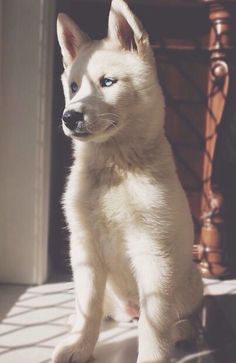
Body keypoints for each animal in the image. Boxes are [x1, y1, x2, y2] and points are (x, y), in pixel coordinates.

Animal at [53, 0, 203, 363]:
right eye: (74, 86)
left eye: (108, 82)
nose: (69, 117)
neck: (116, 169)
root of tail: (128, 311)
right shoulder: (85, 246)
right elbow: (88, 307)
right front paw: (80, 346)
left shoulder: (153, 251)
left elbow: (155, 322)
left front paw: (152, 355)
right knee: (98, 308)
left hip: (190, 280)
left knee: (180, 317)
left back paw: (185, 333)